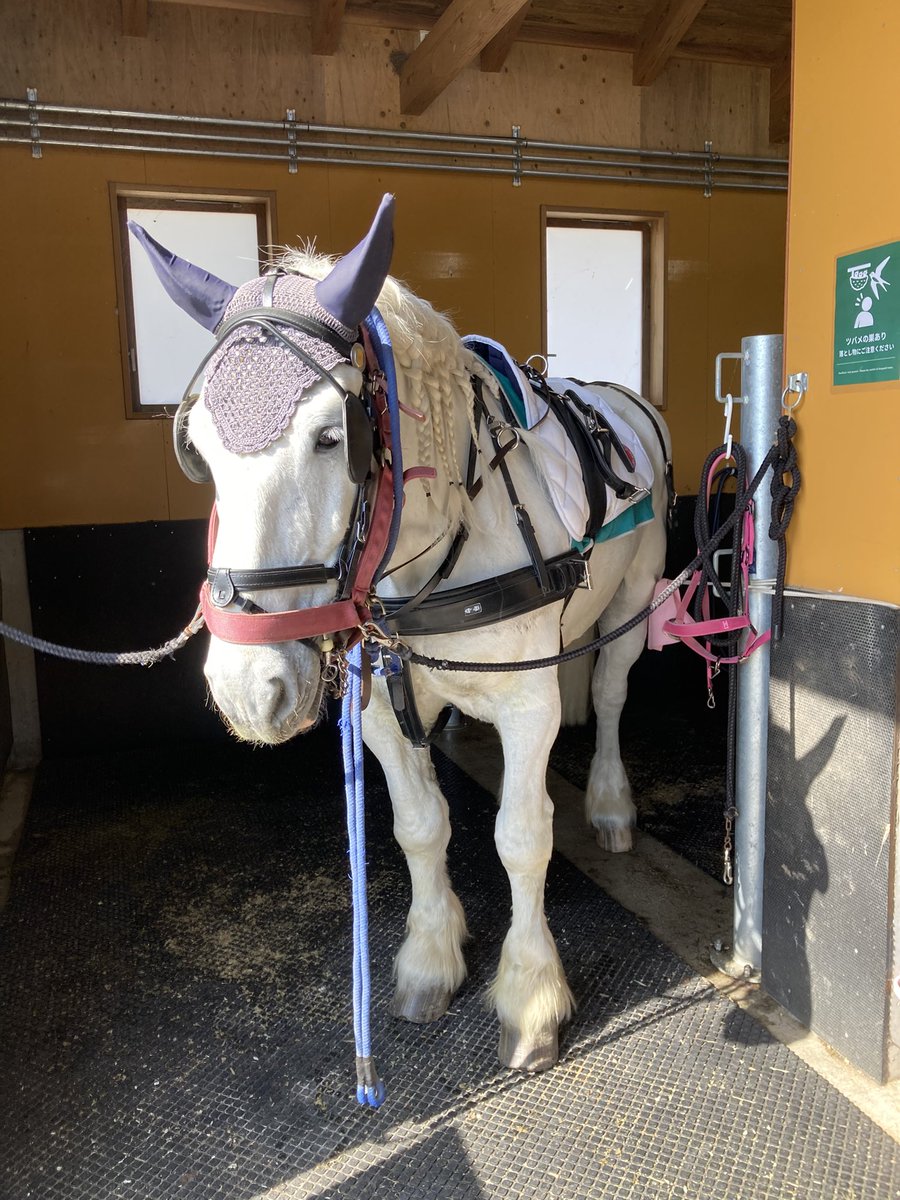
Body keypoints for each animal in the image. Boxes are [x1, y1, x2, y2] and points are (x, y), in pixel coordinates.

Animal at [130, 194, 671, 1073]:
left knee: (616, 692)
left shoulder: (527, 705)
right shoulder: (381, 706)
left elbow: (521, 837)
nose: (248, 688)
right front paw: (430, 957)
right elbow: (419, 826)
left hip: (634, 600)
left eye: (331, 435)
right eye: (199, 448)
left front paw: (530, 995)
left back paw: (611, 802)